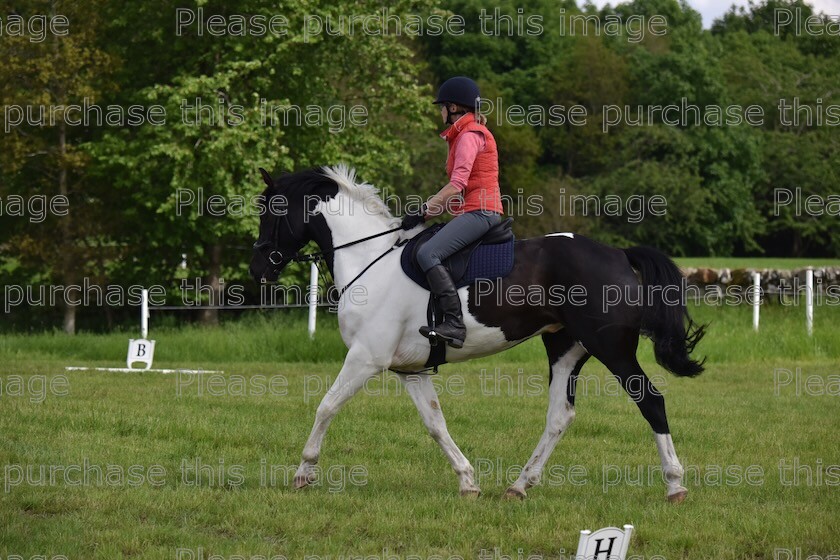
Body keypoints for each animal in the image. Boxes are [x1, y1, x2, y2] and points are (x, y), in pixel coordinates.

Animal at [248, 164, 704, 500]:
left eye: (272, 211)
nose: (257, 270)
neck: (370, 259)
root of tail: (619, 255)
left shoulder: (365, 358)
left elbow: (325, 407)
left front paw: (304, 472)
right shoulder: (410, 370)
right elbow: (436, 424)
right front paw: (468, 481)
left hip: (612, 349)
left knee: (651, 401)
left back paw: (674, 485)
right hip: (565, 348)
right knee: (560, 415)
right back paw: (519, 486)